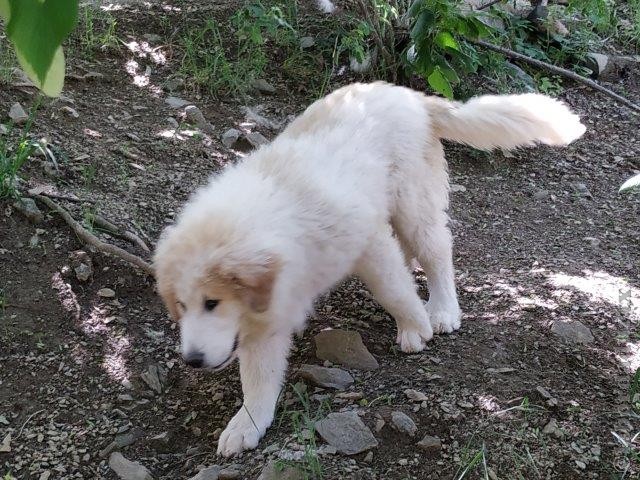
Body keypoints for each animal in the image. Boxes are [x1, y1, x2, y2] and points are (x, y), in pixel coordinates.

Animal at [154, 82, 584, 458]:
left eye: (212, 302)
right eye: (182, 306)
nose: (192, 360)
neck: (278, 215)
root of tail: (408, 95)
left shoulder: (367, 243)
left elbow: (393, 289)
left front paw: (415, 326)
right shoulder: (265, 312)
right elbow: (258, 375)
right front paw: (246, 424)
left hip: (413, 205)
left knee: (437, 253)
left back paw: (442, 309)